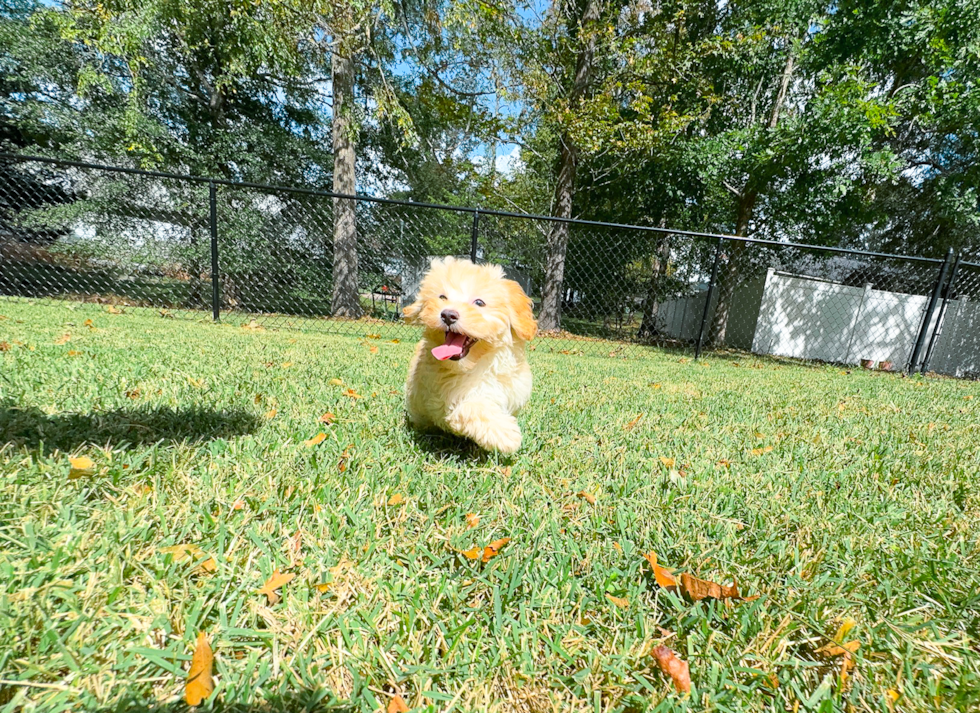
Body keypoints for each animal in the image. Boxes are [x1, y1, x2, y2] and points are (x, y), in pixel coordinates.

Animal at [404, 258, 540, 454]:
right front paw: (504, 434)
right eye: (442, 297)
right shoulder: (443, 398)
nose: (448, 314)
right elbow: (472, 408)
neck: (478, 364)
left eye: (479, 302)